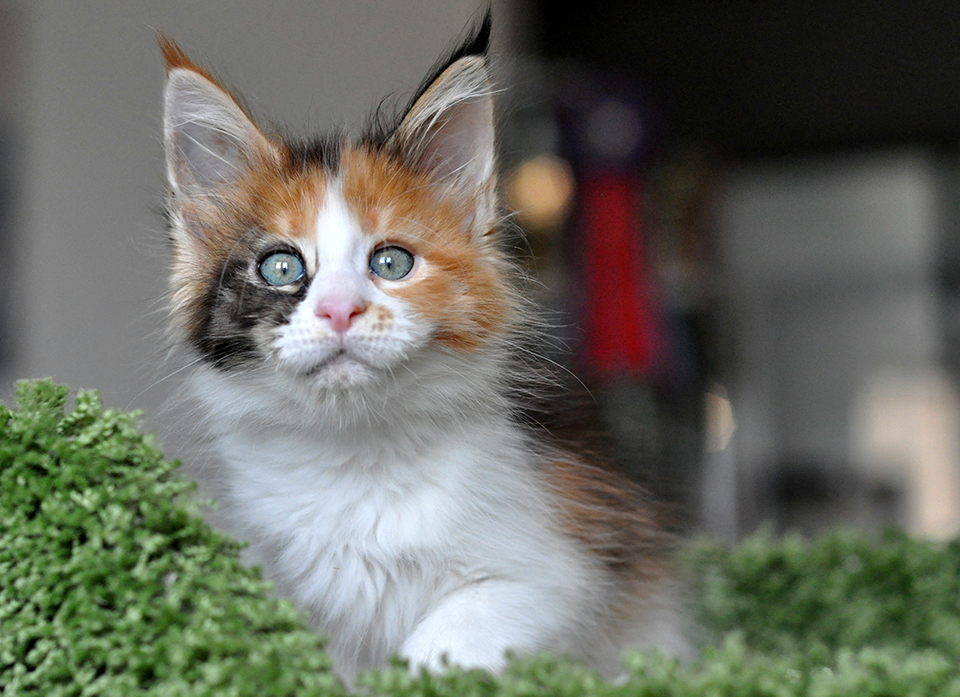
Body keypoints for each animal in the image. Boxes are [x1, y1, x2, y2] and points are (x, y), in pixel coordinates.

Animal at [158, 14, 688, 680]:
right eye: (281, 267)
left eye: (391, 262)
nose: (339, 309)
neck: (356, 456)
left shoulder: (552, 571)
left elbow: (441, 645)